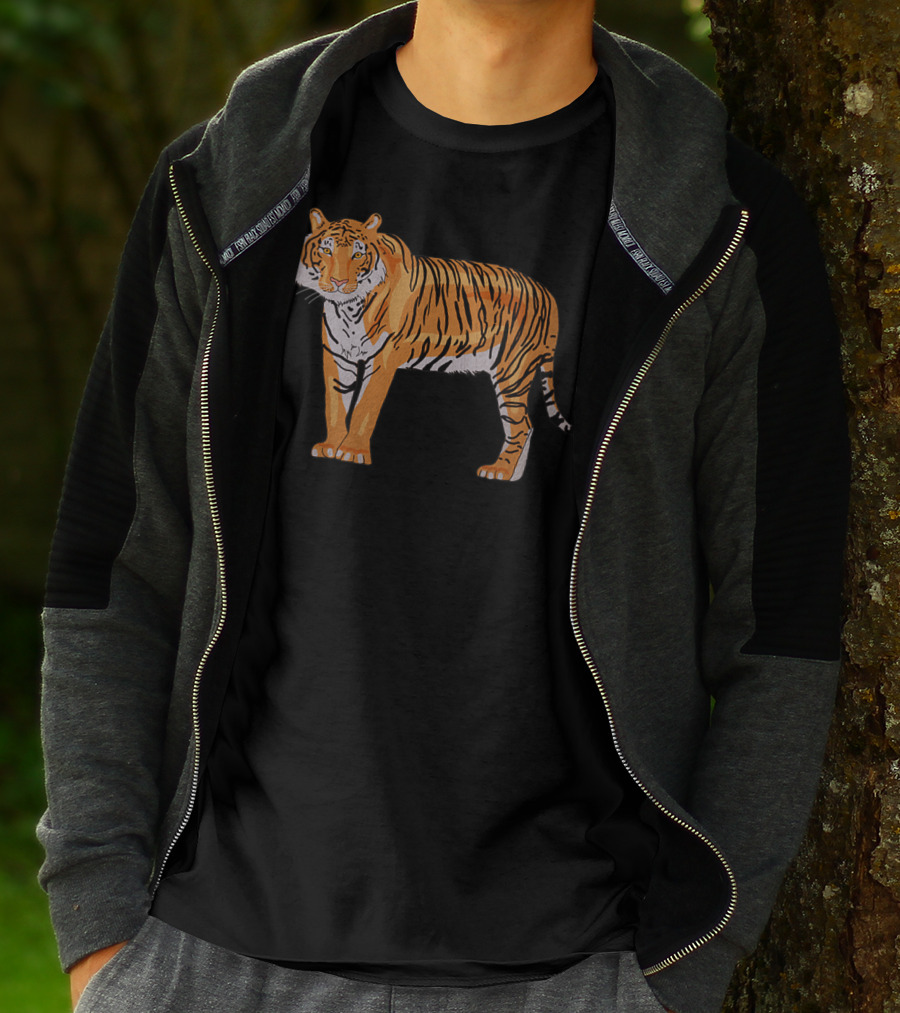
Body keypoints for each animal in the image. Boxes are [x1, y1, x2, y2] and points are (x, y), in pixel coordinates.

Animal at [295, 208, 570, 482]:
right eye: (326, 250)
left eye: (358, 254)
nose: (338, 283)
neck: (348, 309)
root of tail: (545, 291)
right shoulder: (337, 356)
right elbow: (335, 404)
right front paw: (331, 446)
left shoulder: (382, 360)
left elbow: (364, 409)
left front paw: (352, 451)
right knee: (526, 426)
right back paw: (511, 474)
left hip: (512, 371)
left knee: (521, 425)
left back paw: (499, 470)